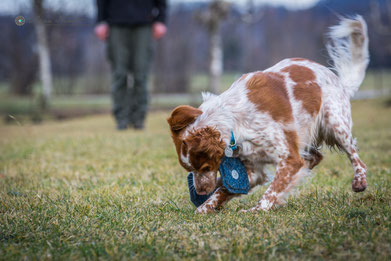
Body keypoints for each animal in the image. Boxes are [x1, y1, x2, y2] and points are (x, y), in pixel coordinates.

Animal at [167, 15, 370, 213]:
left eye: (206, 167)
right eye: (189, 168)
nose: (201, 191)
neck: (235, 118)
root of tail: (339, 81)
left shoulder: (289, 158)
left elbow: (271, 190)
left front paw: (258, 209)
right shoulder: (252, 168)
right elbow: (224, 189)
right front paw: (205, 206)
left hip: (335, 124)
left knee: (355, 156)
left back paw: (359, 180)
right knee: (315, 157)